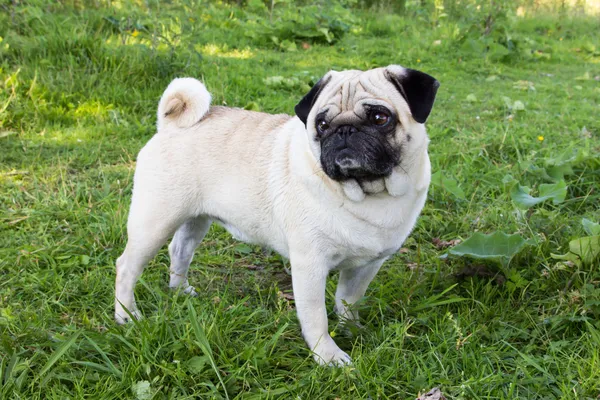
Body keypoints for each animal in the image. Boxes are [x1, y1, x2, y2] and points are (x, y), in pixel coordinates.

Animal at [115, 65, 438, 366]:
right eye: (322, 125)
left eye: (380, 118)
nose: (344, 130)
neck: (365, 194)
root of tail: (170, 125)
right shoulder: (310, 265)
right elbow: (316, 316)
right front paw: (327, 355)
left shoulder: (367, 265)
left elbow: (348, 301)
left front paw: (353, 329)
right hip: (156, 220)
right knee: (126, 267)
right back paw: (127, 316)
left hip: (196, 218)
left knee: (180, 250)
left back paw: (180, 291)